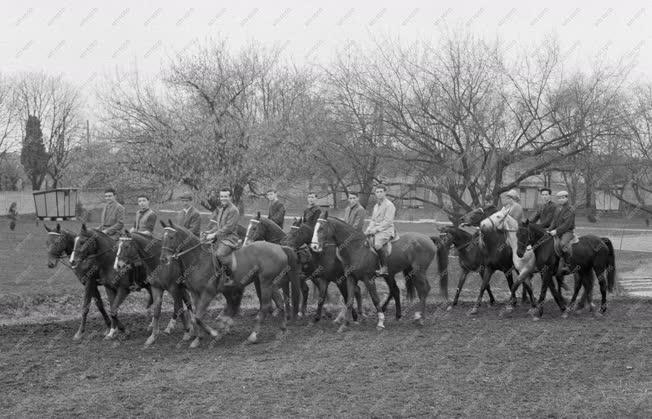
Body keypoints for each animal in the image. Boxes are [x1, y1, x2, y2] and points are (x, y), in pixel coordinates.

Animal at [159, 220, 302, 348]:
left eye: (171, 237)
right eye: (162, 237)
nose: (163, 259)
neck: (198, 260)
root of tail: (280, 247)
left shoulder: (208, 294)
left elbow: (198, 318)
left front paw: (213, 333)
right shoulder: (195, 294)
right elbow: (196, 316)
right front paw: (198, 338)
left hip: (265, 283)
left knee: (266, 306)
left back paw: (252, 336)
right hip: (271, 283)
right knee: (280, 303)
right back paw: (282, 330)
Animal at [310, 213, 448, 332]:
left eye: (321, 228)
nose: (314, 246)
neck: (356, 248)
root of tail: (427, 238)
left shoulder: (368, 279)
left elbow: (375, 299)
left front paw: (380, 322)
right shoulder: (350, 278)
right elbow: (349, 300)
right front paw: (344, 325)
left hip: (419, 271)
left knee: (424, 289)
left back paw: (420, 318)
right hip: (409, 273)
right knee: (412, 290)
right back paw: (413, 316)